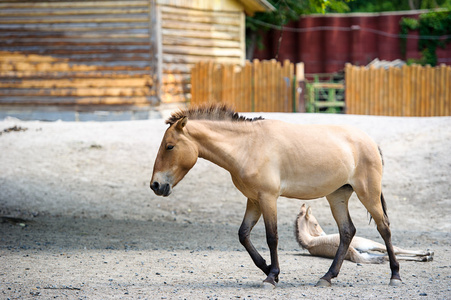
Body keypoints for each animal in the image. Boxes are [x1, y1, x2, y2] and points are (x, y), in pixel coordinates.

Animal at [152, 103, 402, 288]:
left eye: (170, 146)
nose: (156, 185)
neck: (248, 146)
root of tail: (370, 142)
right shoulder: (254, 200)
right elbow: (243, 235)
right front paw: (268, 269)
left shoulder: (268, 198)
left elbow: (272, 237)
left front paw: (271, 277)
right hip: (337, 197)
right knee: (347, 231)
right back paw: (326, 277)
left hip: (368, 193)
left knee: (384, 228)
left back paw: (395, 276)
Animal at [296, 203, 434, 264]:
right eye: (315, 224)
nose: (323, 234)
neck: (310, 242)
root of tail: (352, 252)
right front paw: (427, 253)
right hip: (368, 244)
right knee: (394, 250)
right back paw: (427, 255)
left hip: (367, 254)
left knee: (385, 256)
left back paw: (426, 257)